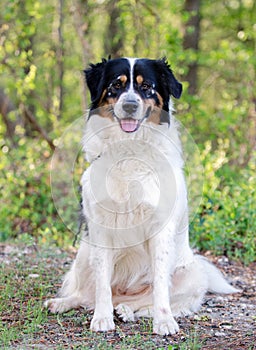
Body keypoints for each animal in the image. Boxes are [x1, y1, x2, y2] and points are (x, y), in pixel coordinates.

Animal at [45, 58, 239, 336]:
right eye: (116, 85)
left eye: (146, 86)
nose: (130, 105)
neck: (129, 148)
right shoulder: (100, 228)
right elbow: (101, 283)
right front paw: (102, 318)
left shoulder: (160, 228)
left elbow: (159, 285)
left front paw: (164, 321)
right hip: (84, 254)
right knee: (88, 294)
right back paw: (66, 303)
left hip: (192, 274)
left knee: (143, 302)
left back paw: (127, 311)